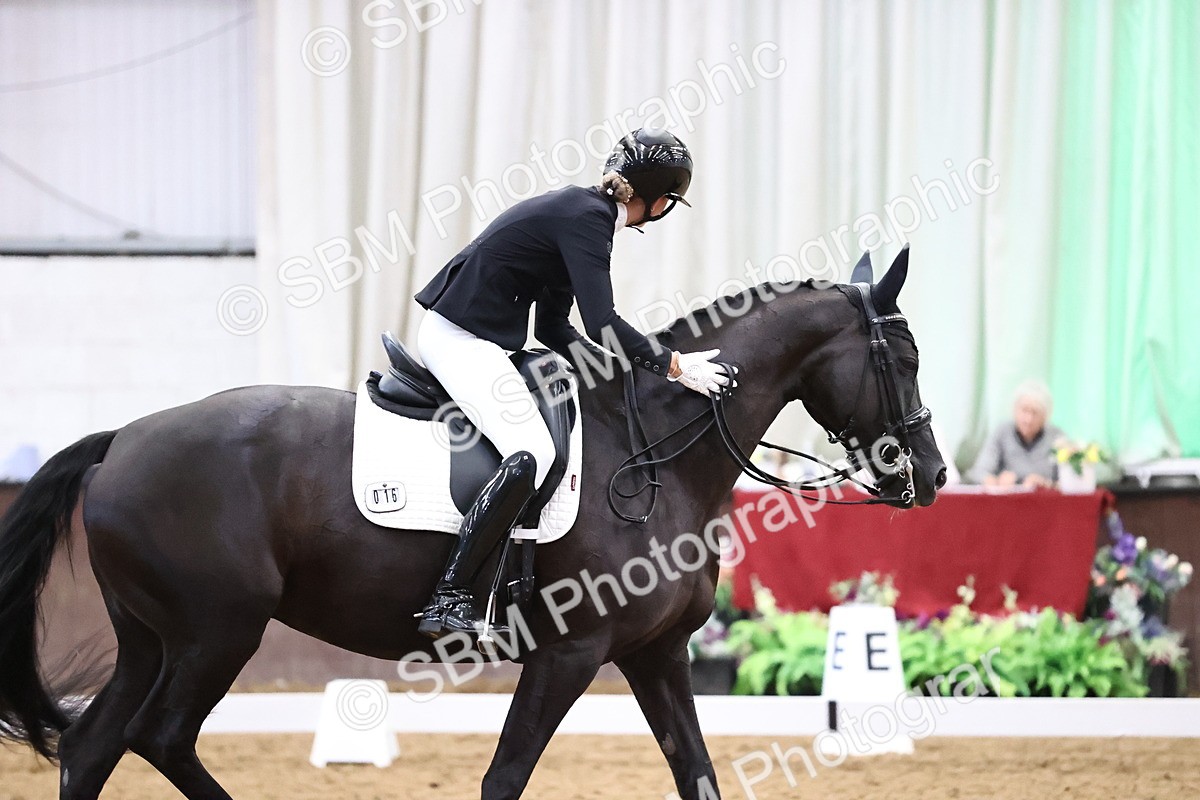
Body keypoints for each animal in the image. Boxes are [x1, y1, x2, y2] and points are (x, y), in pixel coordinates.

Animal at [0, 246, 945, 800]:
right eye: (903, 357)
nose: (932, 476)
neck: (653, 455)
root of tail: (122, 438)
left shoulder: (657, 654)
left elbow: (699, 777)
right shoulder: (571, 653)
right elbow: (504, 778)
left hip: (152, 637)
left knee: (93, 746)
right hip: (216, 630)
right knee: (159, 737)